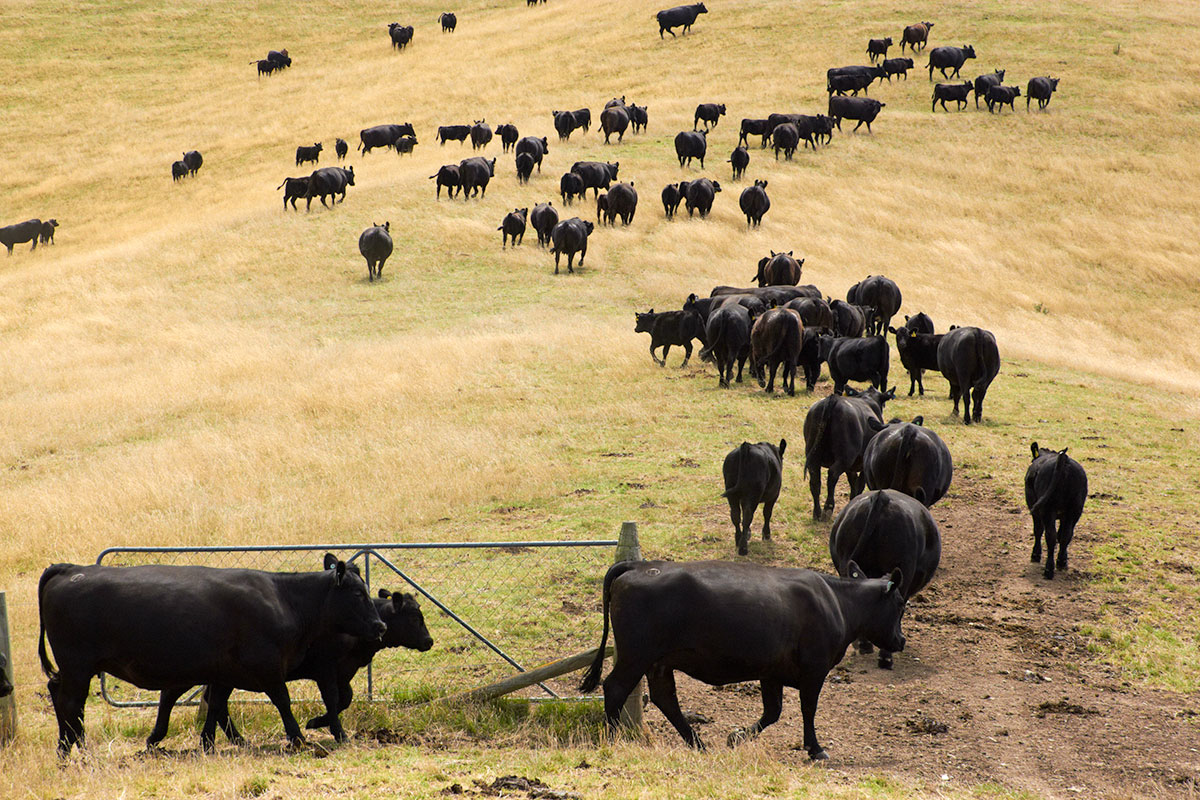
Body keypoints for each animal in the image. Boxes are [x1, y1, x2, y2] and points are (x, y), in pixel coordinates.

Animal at [37, 556, 384, 758]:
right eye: (358, 593)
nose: (380, 626)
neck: (283, 599)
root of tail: (72, 570)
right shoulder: (268, 668)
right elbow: (282, 701)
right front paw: (299, 739)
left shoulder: (224, 672)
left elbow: (216, 705)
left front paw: (207, 744)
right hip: (78, 666)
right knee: (71, 703)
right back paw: (76, 750)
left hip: (72, 669)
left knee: (59, 694)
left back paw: (68, 748)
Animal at [576, 561, 902, 762]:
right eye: (900, 604)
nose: (900, 641)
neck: (835, 601)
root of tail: (640, 565)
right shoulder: (814, 668)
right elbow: (808, 709)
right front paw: (815, 749)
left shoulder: (771, 673)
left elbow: (772, 712)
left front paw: (736, 737)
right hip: (636, 655)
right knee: (615, 688)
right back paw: (615, 738)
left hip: (659, 662)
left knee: (664, 698)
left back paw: (698, 744)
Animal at [801, 386, 897, 520]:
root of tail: (834, 399)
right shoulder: (862, 465)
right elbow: (859, 484)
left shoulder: (851, 467)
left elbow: (853, 481)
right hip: (845, 457)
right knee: (832, 475)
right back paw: (828, 508)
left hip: (813, 456)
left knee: (815, 480)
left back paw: (817, 512)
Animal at [1022, 443, 1089, 582]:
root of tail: (1064, 460)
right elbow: (1061, 534)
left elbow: (1038, 530)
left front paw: (1035, 554)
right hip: (1075, 510)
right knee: (1066, 535)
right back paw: (1062, 562)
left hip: (1047, 509)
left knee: (1050, 536)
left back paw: (1048, 570)